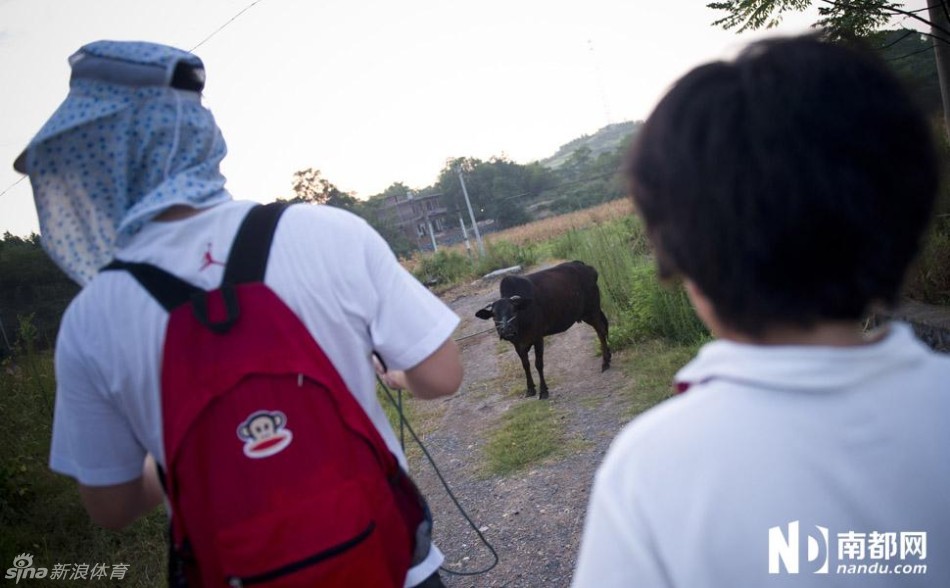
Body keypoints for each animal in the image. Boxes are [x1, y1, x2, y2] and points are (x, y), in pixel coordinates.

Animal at [474, 262, 612, 400]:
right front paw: (530, 389)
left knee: (601, 331)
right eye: (493, 314)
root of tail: (587, 267)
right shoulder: (518, 344)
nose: (506, 329)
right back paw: (609, 356)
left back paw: (605, 363)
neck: (521, 322)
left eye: (513, 310)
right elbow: (525, 364)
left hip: (592, 311)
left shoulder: (538, 338)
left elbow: (538, 364)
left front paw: (543, 391)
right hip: (588, 314)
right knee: (604, 328)